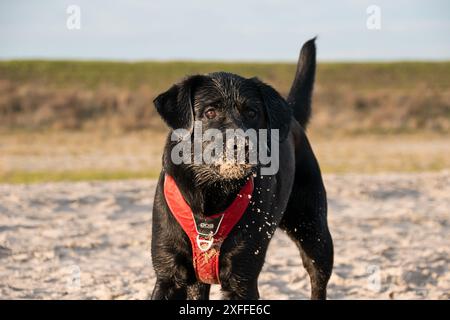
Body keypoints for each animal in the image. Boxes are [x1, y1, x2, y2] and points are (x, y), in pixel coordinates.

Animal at [149, 39, 332, 300]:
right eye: (210, 112)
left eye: (252, 113)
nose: (244, 145)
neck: (210, 193)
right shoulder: (168, 274)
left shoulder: (242, 279)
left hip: (314, 231)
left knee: (318, 279)